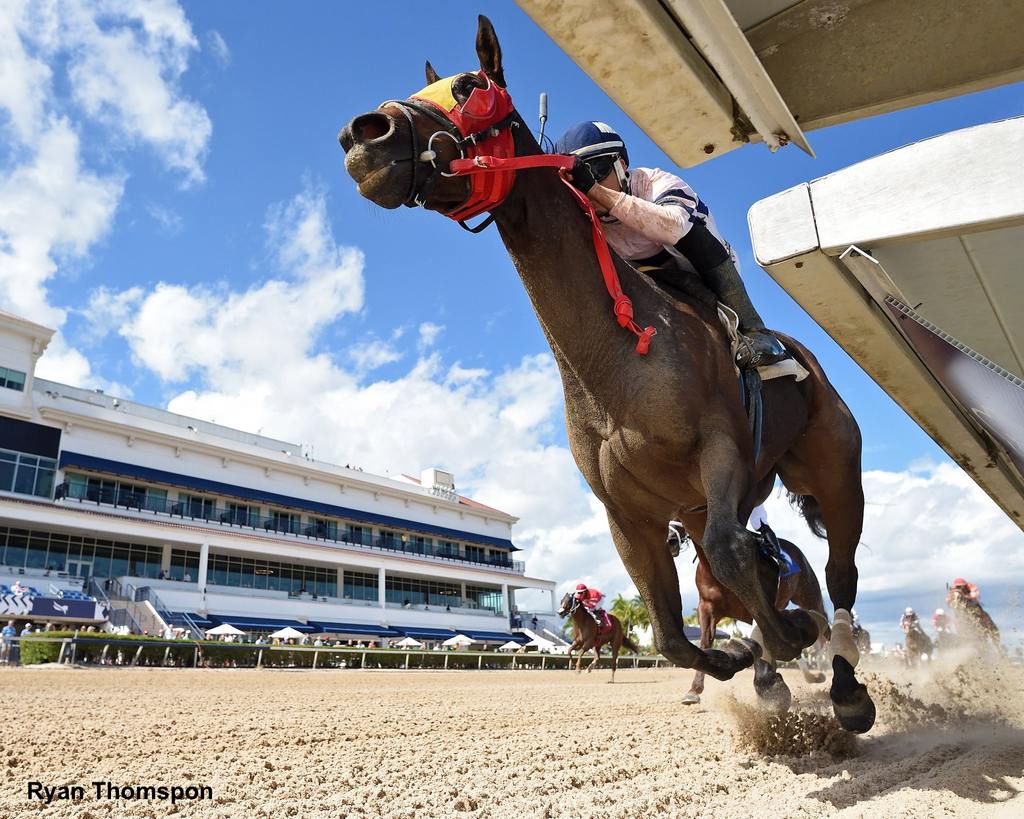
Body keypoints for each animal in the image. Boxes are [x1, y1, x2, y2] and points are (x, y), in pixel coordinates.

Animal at [684, 536, 827, 708]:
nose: (671, 540)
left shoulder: (758, 602)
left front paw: (770, 688)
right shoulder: (707, 608)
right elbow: (705, 642)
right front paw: (694, 690)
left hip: (809, 596)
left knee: (825, 625)